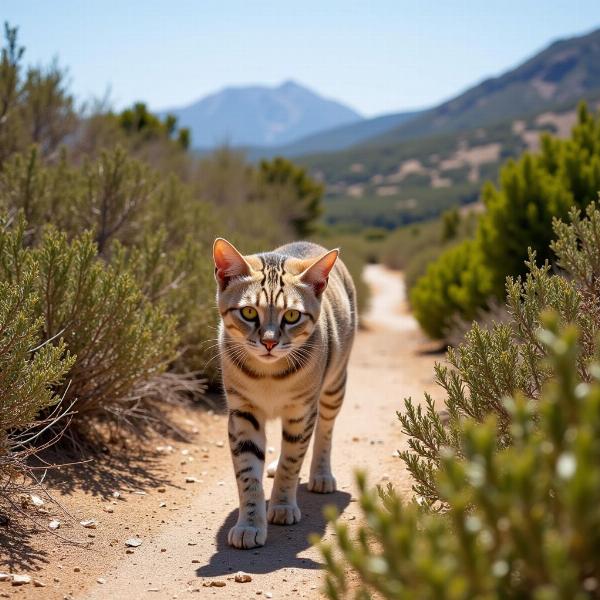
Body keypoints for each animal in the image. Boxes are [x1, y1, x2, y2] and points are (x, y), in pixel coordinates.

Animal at [213, 238, 354, 548]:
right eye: (249, 312)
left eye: (291, 315)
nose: (269, 342)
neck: (269, 376)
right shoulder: (243, 412)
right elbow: (248, 474)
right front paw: (250, 524)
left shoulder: (301, 411)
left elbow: (293, 462)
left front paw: (282, 505)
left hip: (334, 386)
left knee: (324, 431)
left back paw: (321, 475)